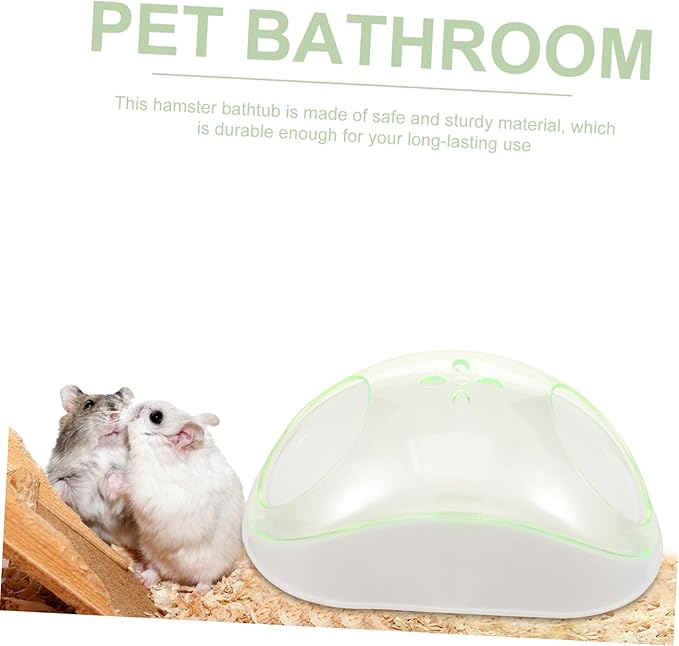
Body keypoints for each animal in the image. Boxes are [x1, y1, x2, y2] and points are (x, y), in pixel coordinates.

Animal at [46, 385, 139, 551]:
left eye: (125, 405)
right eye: (88, 404)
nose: (115, 415)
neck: (105, 450)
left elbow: (117, 474)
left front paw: (110, 493)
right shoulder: (65, 475)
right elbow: (61, 484)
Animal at [123, 400, 244, 590]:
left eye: (156, 417)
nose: (138, 405)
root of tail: (179, 576)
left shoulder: (151, 494)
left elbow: (131, 488)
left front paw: (111, 481)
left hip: (212, 564)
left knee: (206, 578)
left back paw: (200, 592)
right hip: (151, 550)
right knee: (156, 570)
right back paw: (141, 575)